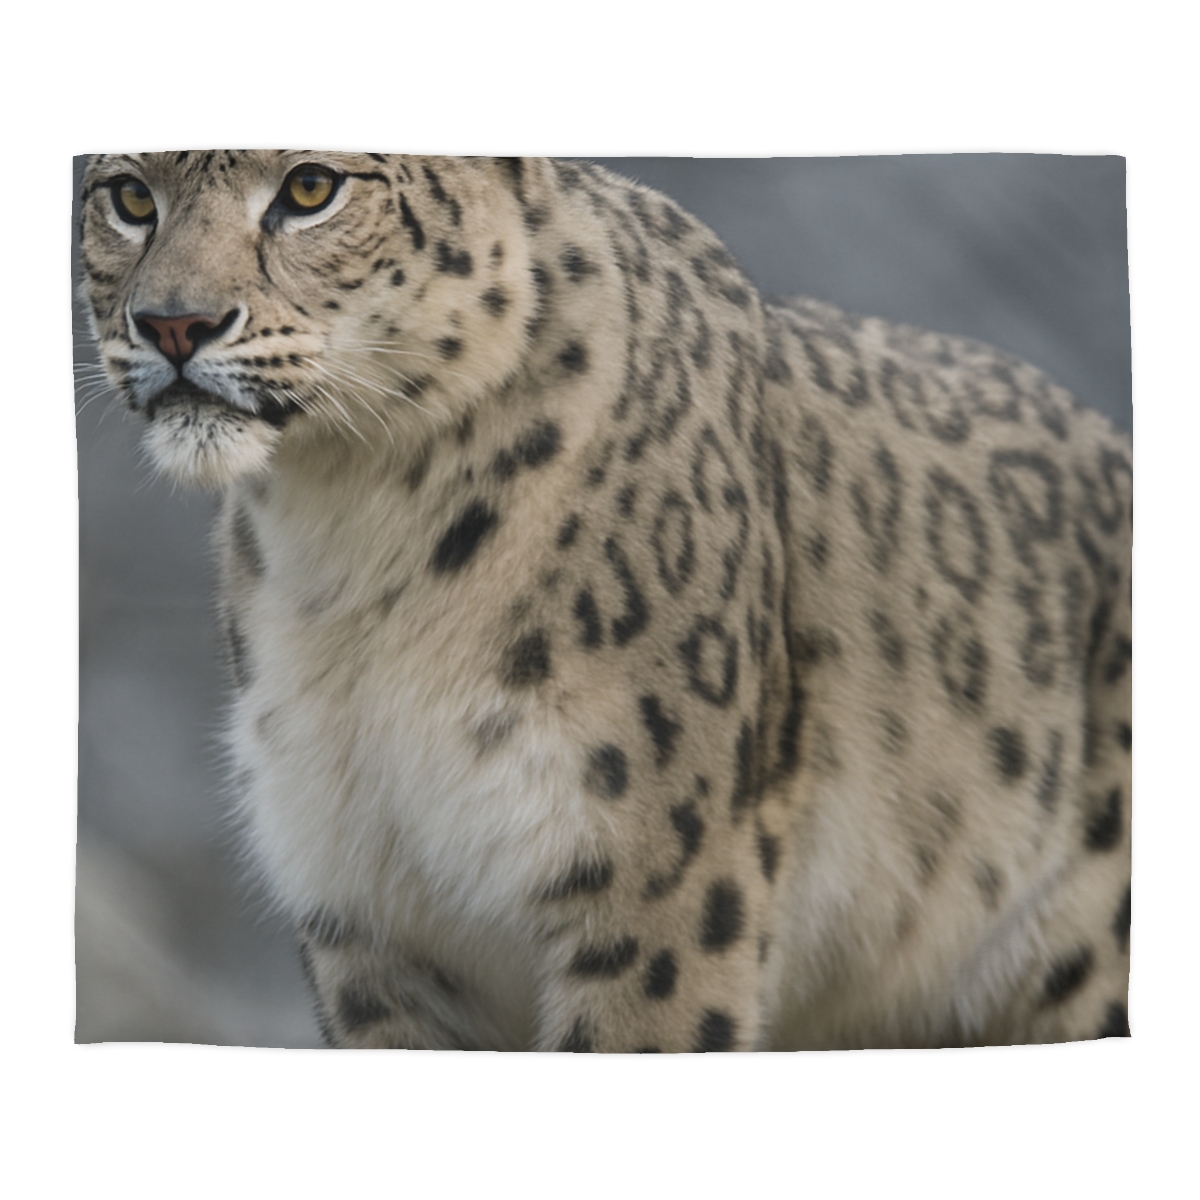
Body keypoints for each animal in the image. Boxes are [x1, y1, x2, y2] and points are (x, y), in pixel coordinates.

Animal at [78, 152, 1132, 1051]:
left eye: (309, 187)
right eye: (129, 195)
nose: (172, 324)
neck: (350, 545)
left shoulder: (658, 884)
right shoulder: (368, 919)